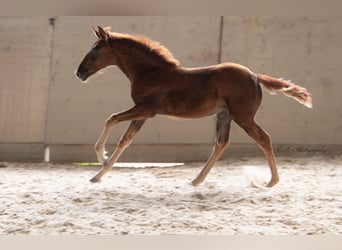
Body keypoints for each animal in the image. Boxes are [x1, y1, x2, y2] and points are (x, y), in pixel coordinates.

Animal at [76, 26, 312, 188]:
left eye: (95, 49)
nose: (79, 72)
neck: (150, 72)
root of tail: (255, 76)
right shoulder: (142, 113)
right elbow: (124, 141)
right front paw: (98, 174)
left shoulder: (147, 109)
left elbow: (112, 118)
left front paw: (101, 157)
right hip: (225, 115)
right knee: (221, 143)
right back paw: (197, 180)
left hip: (243, 117)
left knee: (264, 138)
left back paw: (272, 181)